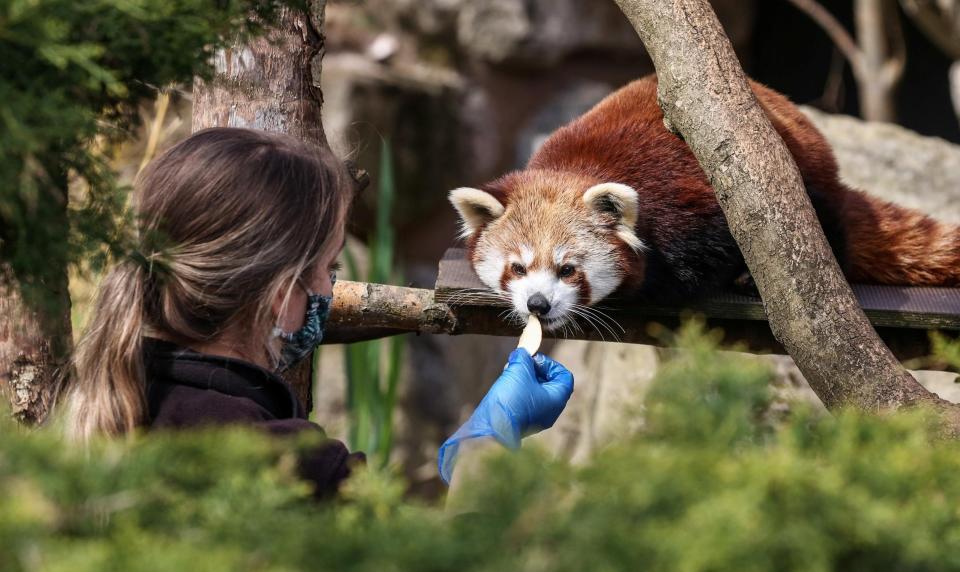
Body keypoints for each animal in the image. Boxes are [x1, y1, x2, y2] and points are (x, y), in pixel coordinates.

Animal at [448, 72, 960, 330]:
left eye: (568, 268)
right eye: (517, 268)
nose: (538, 305)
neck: (578, 167)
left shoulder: (691, 200)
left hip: (798, 166)